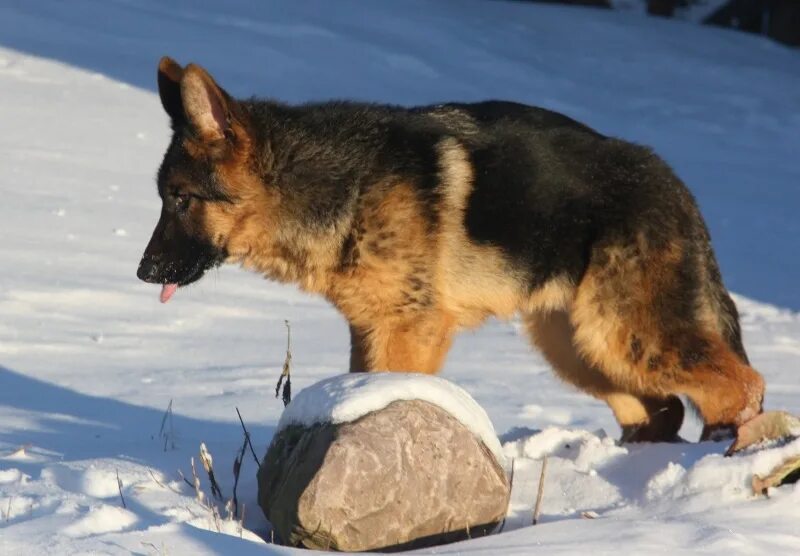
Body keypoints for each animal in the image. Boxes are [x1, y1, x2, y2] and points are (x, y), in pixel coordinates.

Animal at [138, 57, 764, 444]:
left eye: (181, 199)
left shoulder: (411, 330)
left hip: (623, 334)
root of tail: (675, 185)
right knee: (666, 407)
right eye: (164, 197)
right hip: (576, 344)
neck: (344, 186)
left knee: (740, 385)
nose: (143, 273)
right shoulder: (370, 330)